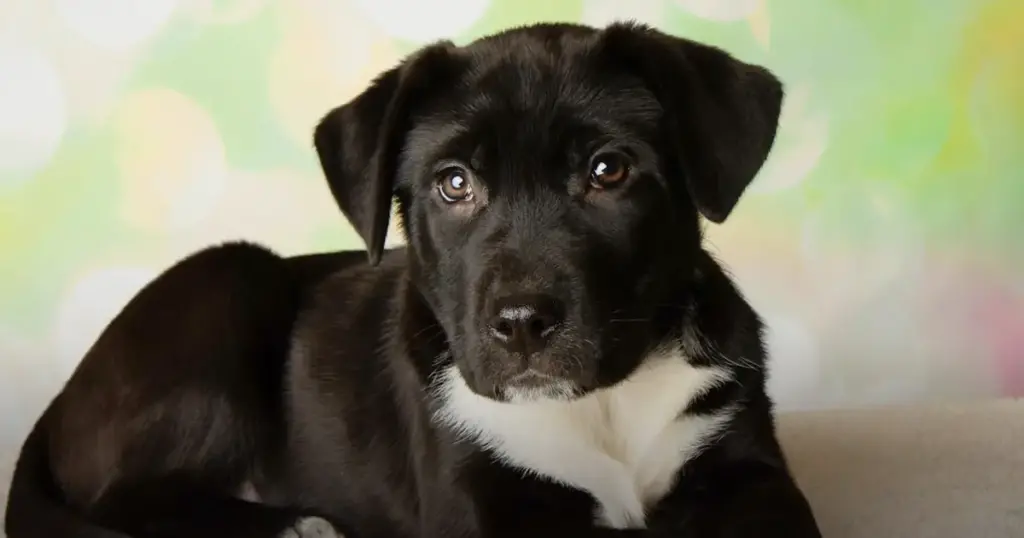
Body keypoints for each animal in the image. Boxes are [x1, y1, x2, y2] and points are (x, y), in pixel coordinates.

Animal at [4, 21, 823, 536]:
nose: (522, 324)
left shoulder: (752, 471)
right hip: (228, 283)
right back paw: (297, 525)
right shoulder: (478, 500)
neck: (602, 405)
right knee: (120, 499)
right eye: (454, 183)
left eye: (608, 171)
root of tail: (64, 398)